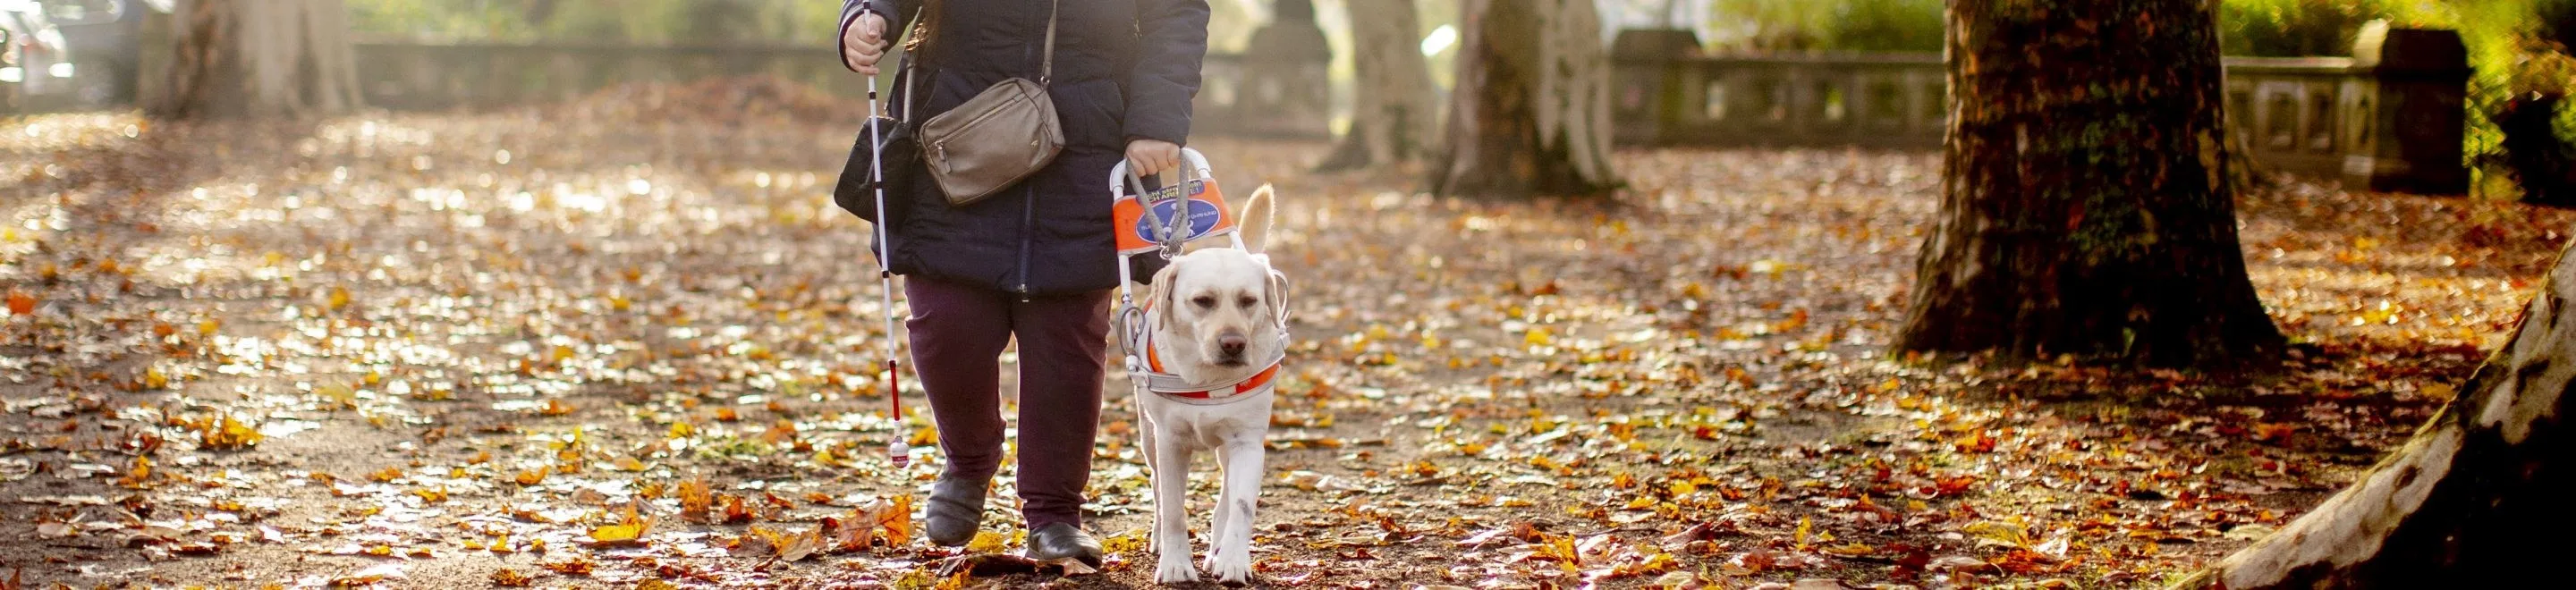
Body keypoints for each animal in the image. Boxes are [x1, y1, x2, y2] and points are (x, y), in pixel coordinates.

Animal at [1107, 148, 1288, 585]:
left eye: (1249, 301)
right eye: (1203, 301)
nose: (1233, 344)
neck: (1208, 378)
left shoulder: (1247, 441)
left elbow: (1241, 506)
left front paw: (1234, 560)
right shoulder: (1170, 442)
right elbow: (1174, 508)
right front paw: (1175, 563)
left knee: (1224, 495)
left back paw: (1218, 549)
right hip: (1148, 438)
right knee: (1157, 489)